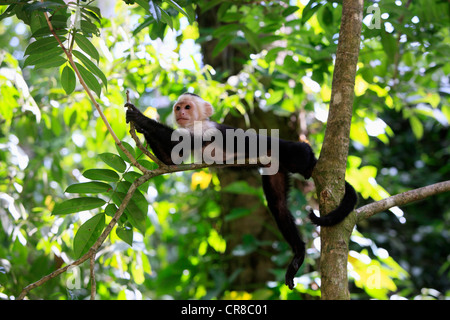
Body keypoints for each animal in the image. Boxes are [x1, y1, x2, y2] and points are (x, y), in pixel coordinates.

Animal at [125, 93, 356, 290]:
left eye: (187, 107)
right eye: (178, 107)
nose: (180, 113)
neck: (195, 123)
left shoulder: (206, 129)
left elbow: (182, 140)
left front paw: (140, 118)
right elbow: (171, 161)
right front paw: (141, 128)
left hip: (286, 152)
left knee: (296, 151)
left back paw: (308, 158)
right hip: (276, 168)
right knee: (278, 206)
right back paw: (298, 253)